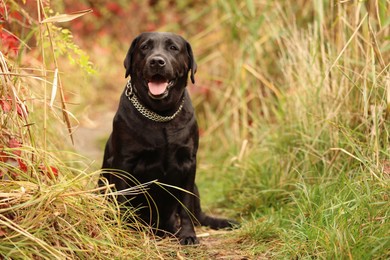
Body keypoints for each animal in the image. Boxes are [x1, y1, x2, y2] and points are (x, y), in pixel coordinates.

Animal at [99, 32, 236, 244]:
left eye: (173, 48)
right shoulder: (123, 163)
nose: (157, 61)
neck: (161, 115)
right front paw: (123, 232)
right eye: (145, 47)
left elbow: (185, 205)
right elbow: (122, 199)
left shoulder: (188, 163)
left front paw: (188, 235)